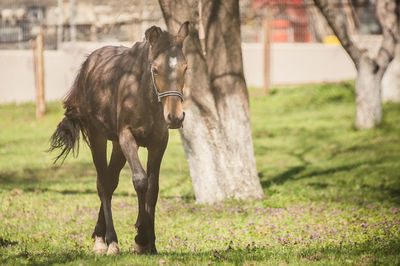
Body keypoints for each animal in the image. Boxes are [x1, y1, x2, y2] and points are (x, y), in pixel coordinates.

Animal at [49, 21, 190, 255]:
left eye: (185, 68)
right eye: (155, 69)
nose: (175, 117)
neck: (142, 95)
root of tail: (89, 63)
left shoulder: (158, 143)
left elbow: (153, 188)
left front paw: (150, 243)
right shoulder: (127, 137)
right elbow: (140, 181)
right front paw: (140, 237)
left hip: (116, 146)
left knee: (111, 181)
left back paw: (100, 235)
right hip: (98, 137)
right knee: (103, 184)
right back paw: (108, 241)